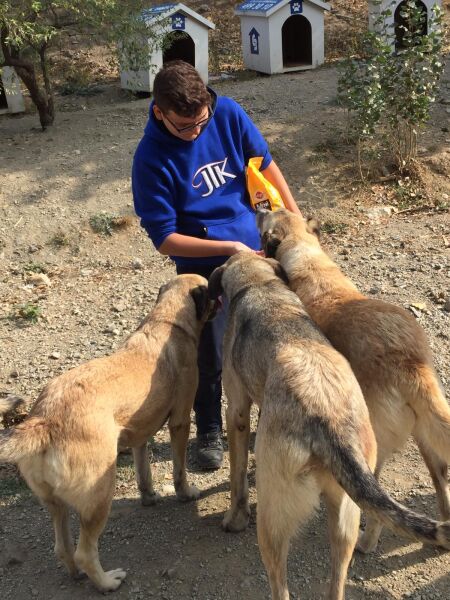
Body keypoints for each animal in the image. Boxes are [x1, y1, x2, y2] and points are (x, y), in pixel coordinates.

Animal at [0, 276, 213, 592]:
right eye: (212, 289)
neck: (166, 320)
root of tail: (43, 421)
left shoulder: (139, 432)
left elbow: (143, 471)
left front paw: (149, 496)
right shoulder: (180, 421)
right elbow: (179, 471)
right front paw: (186, 493)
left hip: (55, 505)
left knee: (63, 548)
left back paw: (76, 574)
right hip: (100, 496)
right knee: (85, 552)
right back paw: (107, 581)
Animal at [256, 207, 450, 552]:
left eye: (272, 215)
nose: (260, 206)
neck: (305, 252)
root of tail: (409, 360)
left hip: (373, 445)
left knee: (378, 504)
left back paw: (367, 542)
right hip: (426, 431)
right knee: (441, 479)